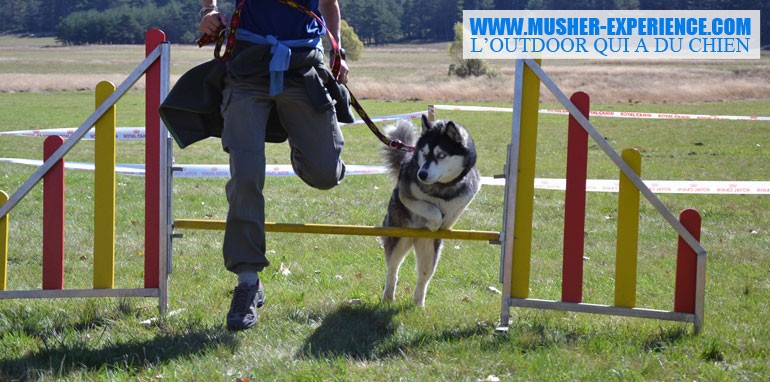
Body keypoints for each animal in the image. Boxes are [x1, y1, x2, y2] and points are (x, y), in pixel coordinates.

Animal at [380, 114, 480, 308]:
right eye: (425, 155)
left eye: (441, 155)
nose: (422, 174)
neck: (441, 188)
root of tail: (414, 239)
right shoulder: (406, 193)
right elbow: (429, 208)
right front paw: (435, 221)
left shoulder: (470, 190)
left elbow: (455, 209)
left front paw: (445, 222)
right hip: (399, 239)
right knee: (392, 270)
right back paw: (388, 297)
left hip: (429, 252)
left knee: (423, 278)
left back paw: (419, 305)